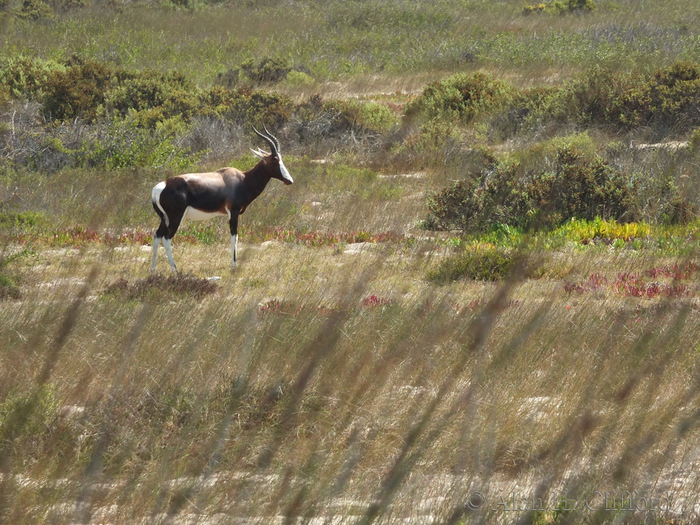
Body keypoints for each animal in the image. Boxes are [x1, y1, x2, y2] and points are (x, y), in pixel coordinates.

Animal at [150, 125, 292, 268]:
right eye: (275, 160)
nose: (289, 180)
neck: (243, 179)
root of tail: (159, 187)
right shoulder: (233, 212)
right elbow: (234, 236)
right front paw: (233, 266)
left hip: (164, 218)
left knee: (157, 235)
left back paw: (153, 269)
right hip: (175, 217)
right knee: (166, 238)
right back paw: (175, 269)